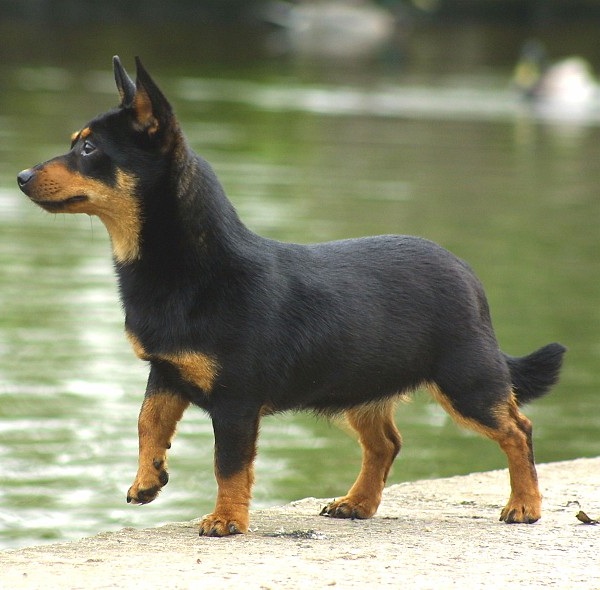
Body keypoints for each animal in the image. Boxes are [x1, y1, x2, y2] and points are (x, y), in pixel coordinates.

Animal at [16, 57, 564, 540]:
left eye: (88, 149)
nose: (21, 177)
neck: (190, 269)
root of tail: (467, 273)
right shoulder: (167, 373)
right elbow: (147, 421)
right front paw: (148, 479)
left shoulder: (235, 402)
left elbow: (229, 463)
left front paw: (227, 520)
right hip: (363, 389)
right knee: (386, 443)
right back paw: (358, 504)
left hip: (467, 382)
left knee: (518, 429)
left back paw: (524, 505)